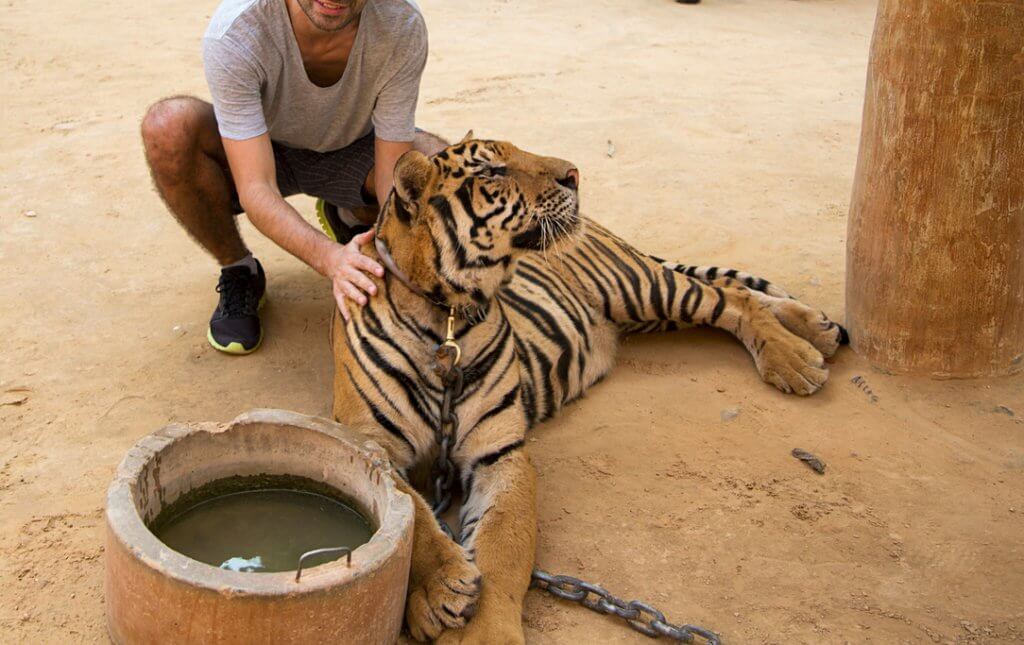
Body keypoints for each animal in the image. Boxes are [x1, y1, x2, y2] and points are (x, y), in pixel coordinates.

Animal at [329, 133, 846, 644]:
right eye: (492, 171)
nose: (575, 174)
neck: (448, 311)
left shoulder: (500, 452)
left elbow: (502, 550)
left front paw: (486, 628)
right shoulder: (374, 447)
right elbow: (415, 518)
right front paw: (439, 590)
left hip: (641, 289)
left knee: (732, 298)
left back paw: (797, 358)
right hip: (648, 310)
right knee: (738, 293)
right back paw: (818, 332)